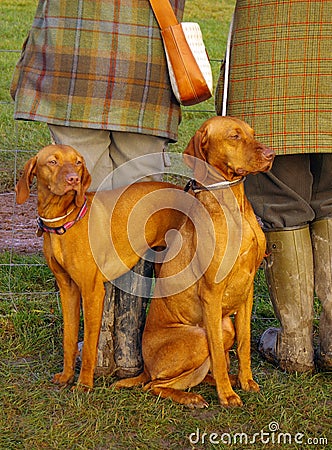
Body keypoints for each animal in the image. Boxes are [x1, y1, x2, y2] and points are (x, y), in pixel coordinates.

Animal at [14, 145, 187, 390]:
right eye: (52, 162)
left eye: (77, 162)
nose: (74, 179)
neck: (63, 221)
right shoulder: (67, 289)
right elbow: (69, 338)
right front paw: (67, 376)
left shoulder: (92, 292)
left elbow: (89, 346)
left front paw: (84, 384)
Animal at [115, 116, 274, 408]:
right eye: (234, 136)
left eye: (252, 133)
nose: (271, 155)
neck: (234, 205)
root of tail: (145, 368)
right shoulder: (212, 293)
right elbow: (220, 357)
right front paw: (227, 396)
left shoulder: (247, 292)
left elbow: (244, 345)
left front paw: (246, 381)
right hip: (198, 336)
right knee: (155, 385)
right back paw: (192, 397)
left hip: (226, 326)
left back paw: (225, 382)